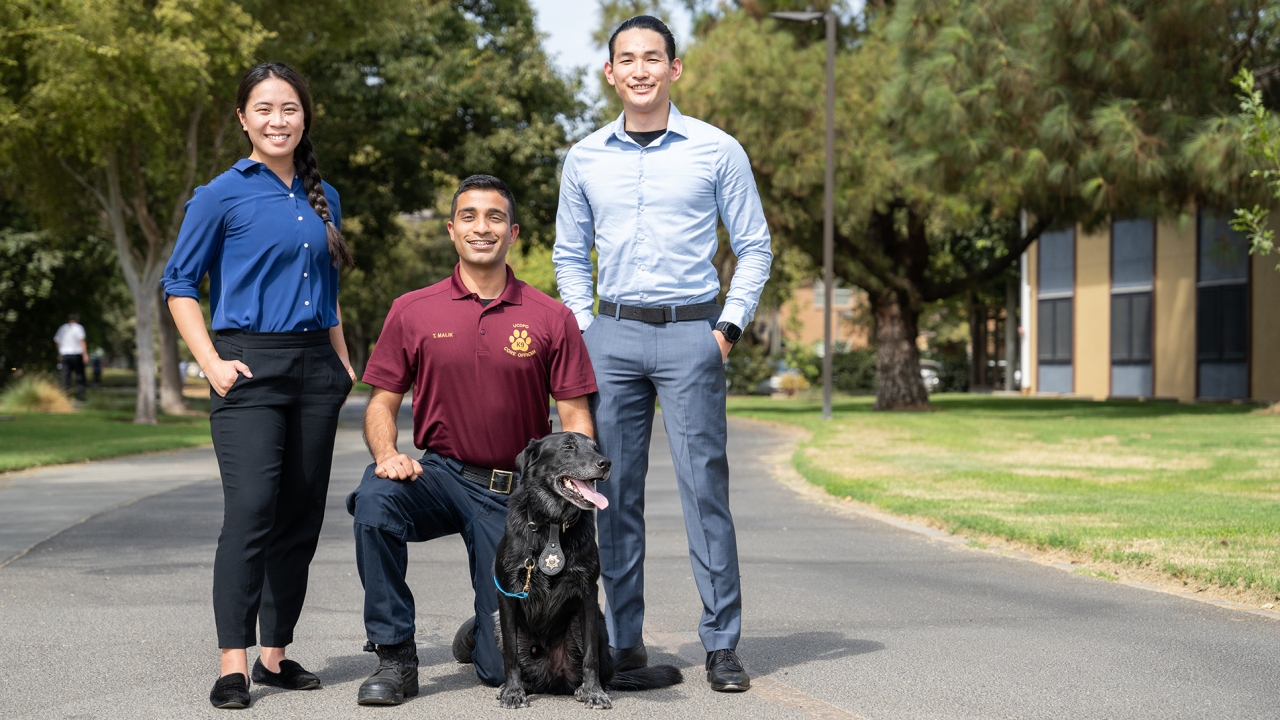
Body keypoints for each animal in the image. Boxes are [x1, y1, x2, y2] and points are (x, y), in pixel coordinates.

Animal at [494, 430, 686, 707]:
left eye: (595, 448)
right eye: (568, 447)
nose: (606, 463)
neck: (553, 525)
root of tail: (553, 682)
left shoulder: (587, 594)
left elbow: (590, 656)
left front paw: (594, 691)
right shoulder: (508, 593)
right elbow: (511, 655)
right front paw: (512, 691)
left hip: (586, 623)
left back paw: (585, 687)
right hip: (497, 620)